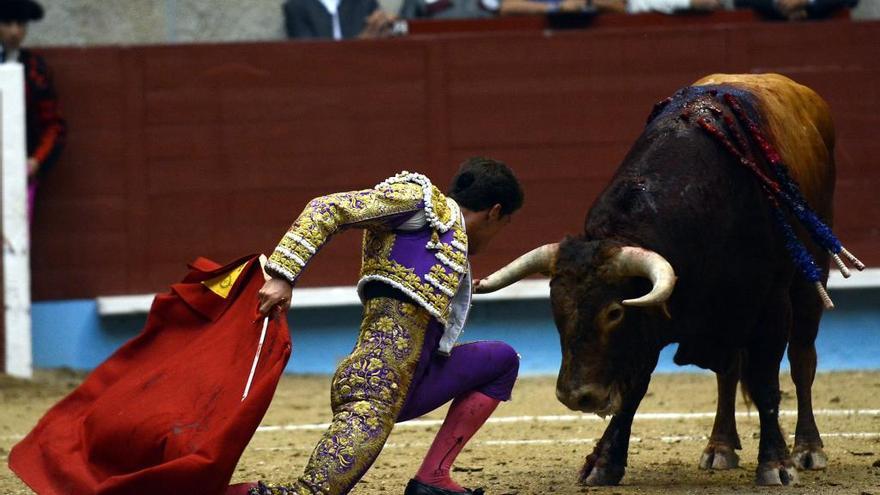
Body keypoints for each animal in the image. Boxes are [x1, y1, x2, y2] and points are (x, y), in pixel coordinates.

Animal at [478, 74, 864, 488]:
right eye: (556, 308)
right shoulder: (650, 324)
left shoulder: (770, 308)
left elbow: (765, 383)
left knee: (802, 359)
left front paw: (776, 464)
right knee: (727, 374)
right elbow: (634, 389)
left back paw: (808, 449)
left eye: (614, 312)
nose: (576, 396)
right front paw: (603, 462)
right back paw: (719, 447)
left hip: (810, 279)